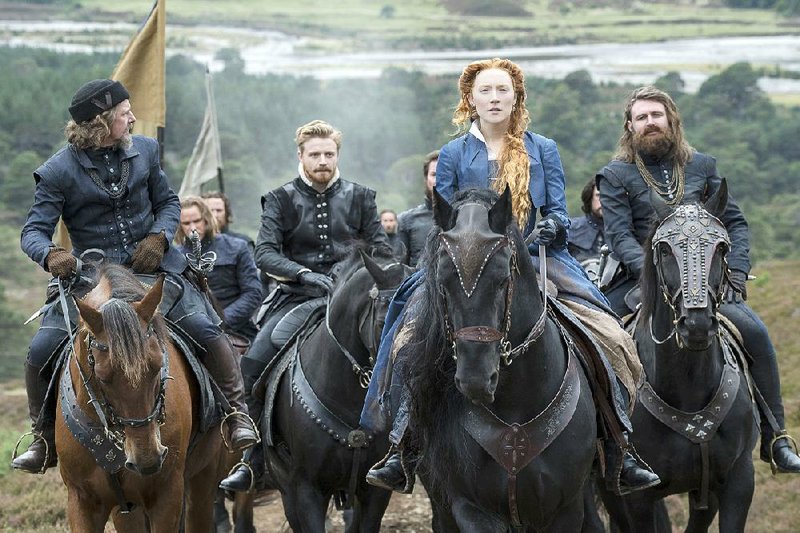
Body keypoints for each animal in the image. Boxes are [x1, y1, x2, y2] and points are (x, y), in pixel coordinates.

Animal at [55, 264, 225, 528]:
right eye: (102, 377)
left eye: (158, 366)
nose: (148, 459)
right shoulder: (81, 500)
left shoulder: (167, 495)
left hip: (203, 478)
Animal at [404, 189, 596, 528]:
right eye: (443, 281)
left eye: (503, 278)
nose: (476, 380)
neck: (517, 402)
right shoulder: (472, 508)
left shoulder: (566, 509)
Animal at [600, 181, 756, 528]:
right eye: (664, 250)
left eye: (721, 248)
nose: (696, 324)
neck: (688, 388)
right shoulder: (639, 500)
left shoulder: (735, 483)